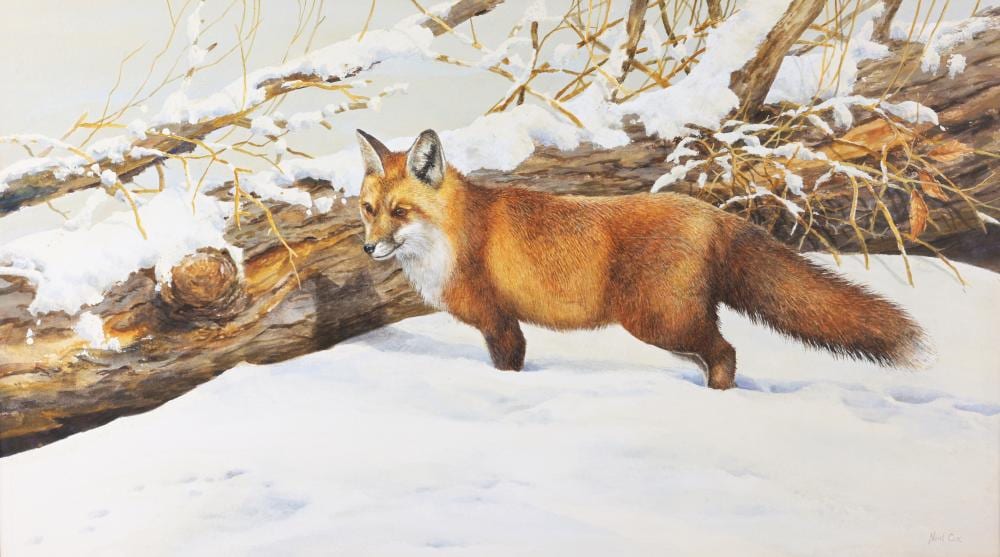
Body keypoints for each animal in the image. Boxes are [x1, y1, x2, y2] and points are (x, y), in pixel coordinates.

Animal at [355, 128, 931, 389]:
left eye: (400, 212)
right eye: (367, 210)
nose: (367, 248)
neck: (454, 236)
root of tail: (712, 213)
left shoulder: (501, 323)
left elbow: (508, 367)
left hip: (659, 321)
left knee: (727, 353)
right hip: (673, 328)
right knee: (717, 354)